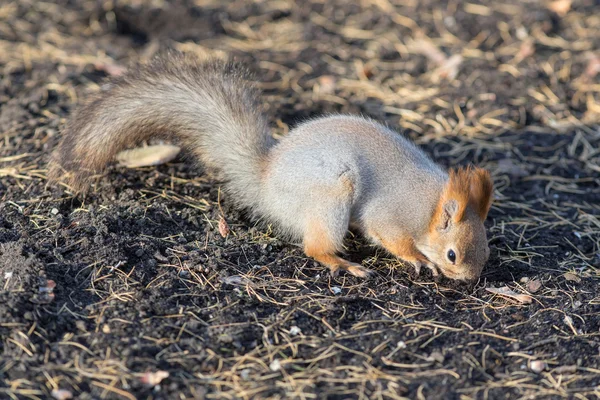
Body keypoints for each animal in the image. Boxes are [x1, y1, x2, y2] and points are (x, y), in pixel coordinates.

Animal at [49, 51, 492, 280]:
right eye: (452, 254)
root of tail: (265, 180)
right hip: (330, 195)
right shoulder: (391, 215)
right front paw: (418, 260)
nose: (469, 280)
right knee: (314, 247)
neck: (430, 205)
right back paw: (344, 264)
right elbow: (393, 239)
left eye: (485, 250)